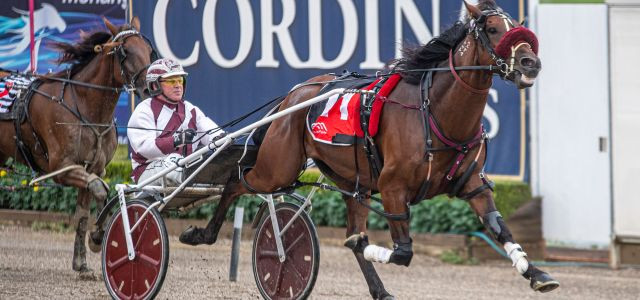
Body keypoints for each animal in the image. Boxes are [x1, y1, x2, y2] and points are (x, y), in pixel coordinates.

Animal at [0, 17, 154, 278]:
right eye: (124, 51)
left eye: (148, 49)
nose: (149, 88)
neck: (84, 106)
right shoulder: (61, 168)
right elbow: (100, 190)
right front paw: (97, 237)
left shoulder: (94, 168)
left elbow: (84, 212)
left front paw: (82, 263)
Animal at [181, 0, 560, 298]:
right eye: (493, 29)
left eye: (520, 29)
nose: (530, 63)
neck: (435, 111)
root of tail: (294, 94)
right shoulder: (393, 188)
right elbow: (402, 251)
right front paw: (368, 247)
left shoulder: (472, 185)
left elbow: (499, 227)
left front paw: (537, 273)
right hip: (279, 167)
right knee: (236, 181)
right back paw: (202, 233)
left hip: (353, 181)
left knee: (349, 221)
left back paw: (378, 287)